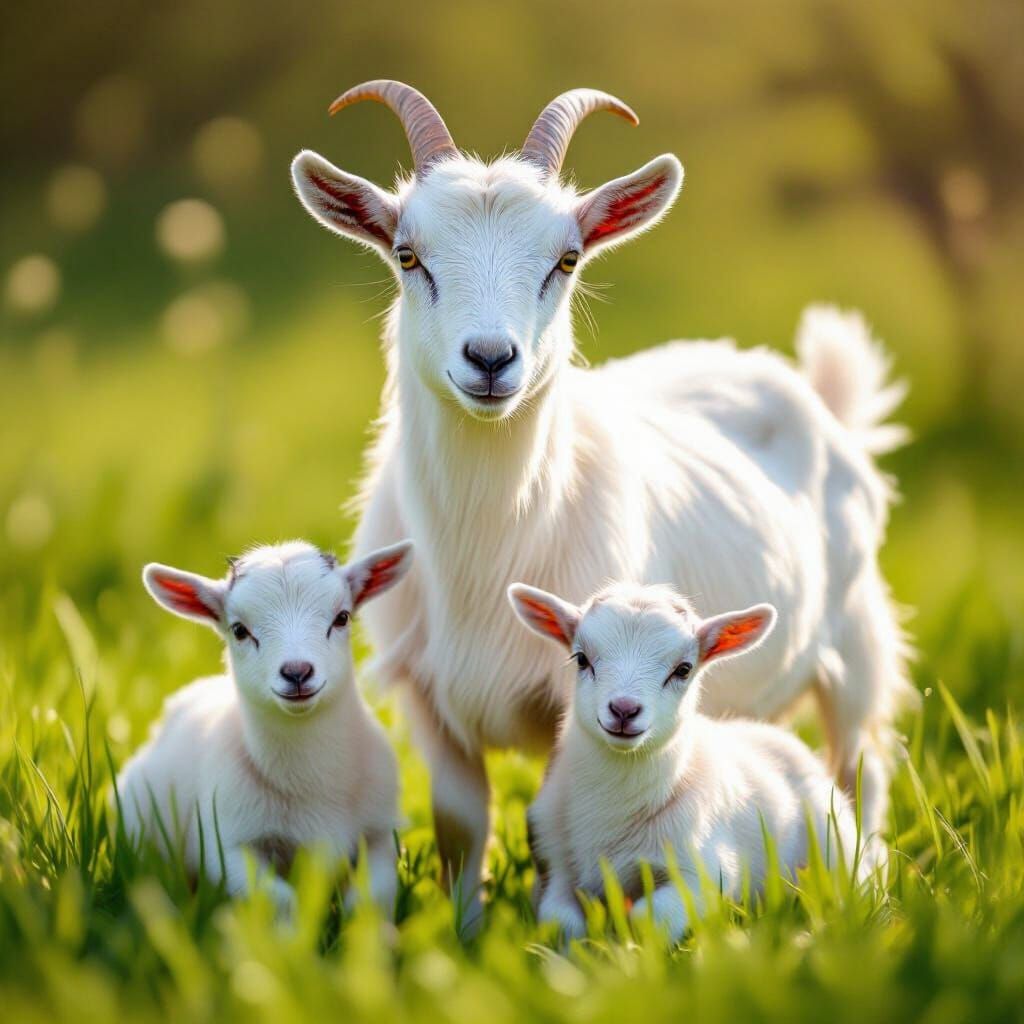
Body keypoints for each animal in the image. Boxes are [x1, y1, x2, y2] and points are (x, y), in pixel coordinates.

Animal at [115, 539, 413, 915]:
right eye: (240, 630)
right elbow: (280, 902)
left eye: (342, 617)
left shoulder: (379, 834)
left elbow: (369, 901)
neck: (311, 781)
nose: (297, 672)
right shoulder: (229, 847)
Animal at [509, 581, 883, 941]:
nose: (624, 710)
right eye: (581, 659)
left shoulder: (703, 874)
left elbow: (646, 920)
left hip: (838, 851)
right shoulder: (554, 865)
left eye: (683, 669)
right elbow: (563, 925)